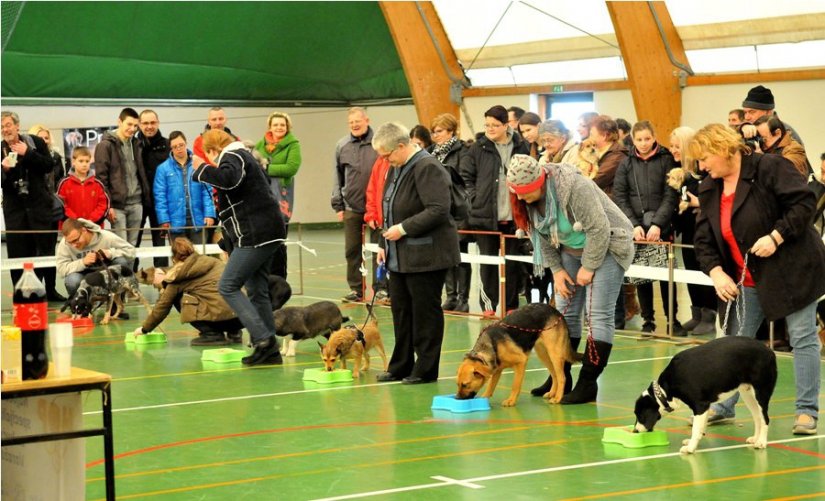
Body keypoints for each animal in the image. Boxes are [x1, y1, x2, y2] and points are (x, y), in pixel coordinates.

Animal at [636, 336, 776, 454]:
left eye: (639, 415)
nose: (635, 431)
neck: (666, 389)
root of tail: (769, 350)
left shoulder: (700, 406)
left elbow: (696, 428)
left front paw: (690, 447)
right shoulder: (705, 406)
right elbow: (700, 428)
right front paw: (693, 443)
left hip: (761, 393)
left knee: (765, 418)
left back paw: (761, 442)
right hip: (748, 394)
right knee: (758, 417)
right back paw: (756, 438)